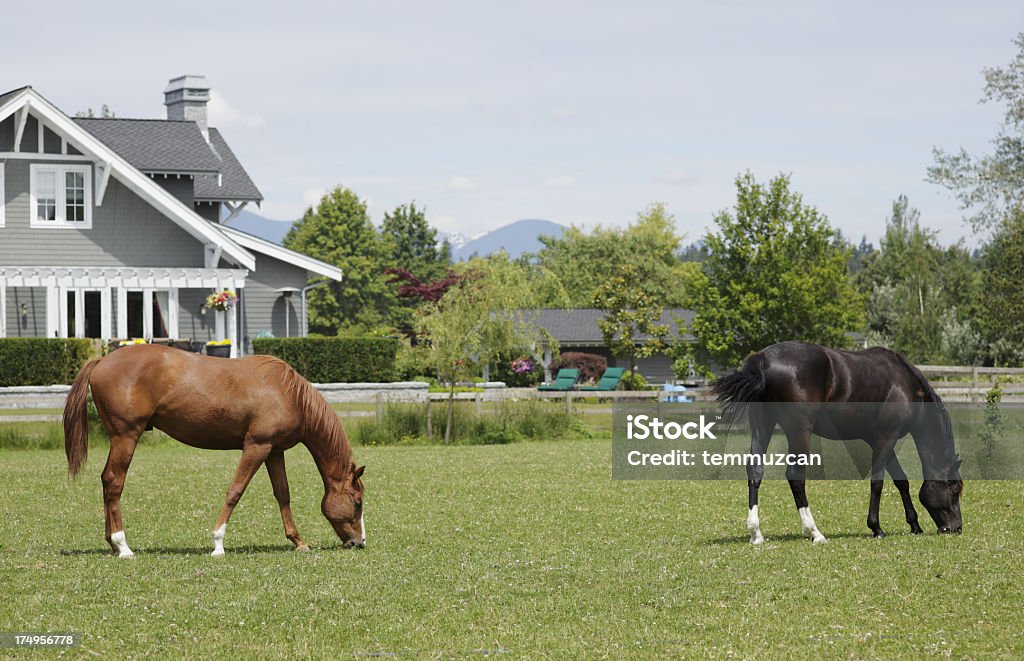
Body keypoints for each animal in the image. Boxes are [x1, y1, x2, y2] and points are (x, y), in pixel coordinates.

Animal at [59, 347, 364, 560]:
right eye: (358, 502)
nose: (359, 542)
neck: (286, 392)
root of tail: (102, 361)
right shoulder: (256, 446)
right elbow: (235, 491)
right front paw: (218, 543)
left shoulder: (274, 451)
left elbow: (283, 494)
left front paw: (298, 541)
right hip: (126, 437)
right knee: (114, 483)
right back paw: (123, 546)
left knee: (106, 481)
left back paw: (112, 543)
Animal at [712, 341, 958, 544]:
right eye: (955, 487)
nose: (956, 528)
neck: (905, 385)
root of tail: (763, 358)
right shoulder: (886, 438)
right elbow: (878, 482)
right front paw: (876, 528)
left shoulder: (878, 440)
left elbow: (901, 481)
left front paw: (914, 525)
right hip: (799, 432)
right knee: (795, 476)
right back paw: (814, 532)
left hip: (763, 425)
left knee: (755, 471)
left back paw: (756, 534)